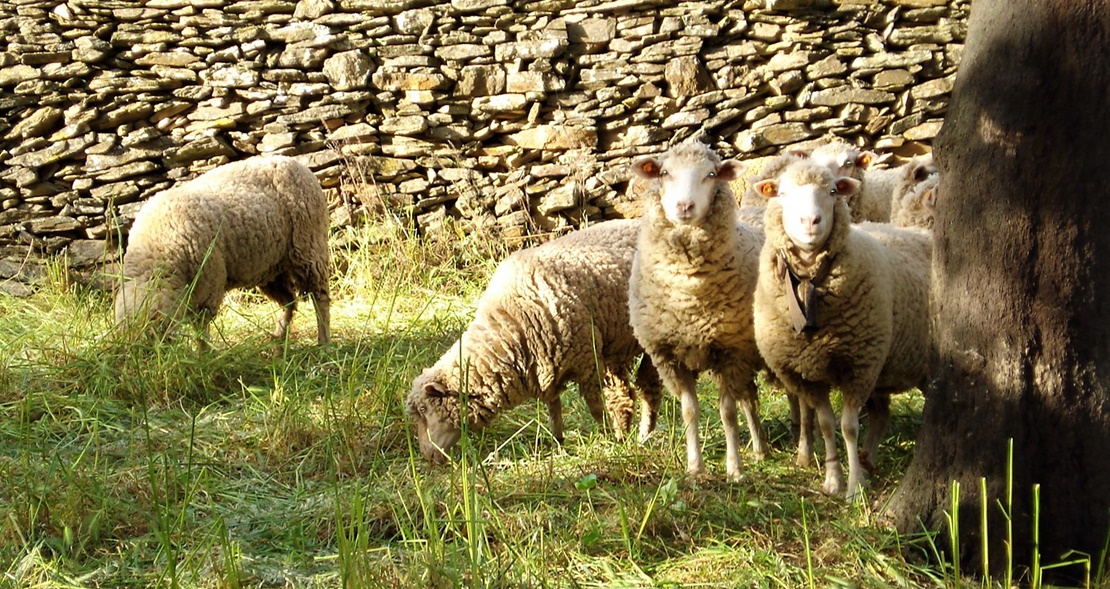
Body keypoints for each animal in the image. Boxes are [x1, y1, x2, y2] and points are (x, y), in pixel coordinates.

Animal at [119, 155, 333, 346]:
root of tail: (297, 163)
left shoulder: (208, 284)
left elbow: (201, 328)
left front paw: (204, 354)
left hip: (309, 248)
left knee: (320, 298)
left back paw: (323, 343)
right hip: (270, 267)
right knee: (289, 301)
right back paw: (278, 341)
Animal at [410, 219, 661, 465]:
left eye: (424, 408)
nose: (427, 456)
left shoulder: (587, 362)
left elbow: (595, 407)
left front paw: (607, 436)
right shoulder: (548, 369)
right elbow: (554, 408)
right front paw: (559, 442)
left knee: (642, 389)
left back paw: (637, 436)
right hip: (618, 346)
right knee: (634, 391)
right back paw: (635, 435)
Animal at [630, 140, 768, 481]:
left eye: (711, 174)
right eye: (664, 173)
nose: (684, 206)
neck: (689, 297)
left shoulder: (729, 352)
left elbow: (727, 413)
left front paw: (735, 469)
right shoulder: (670, 357)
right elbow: (689, 411)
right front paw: (695, 467)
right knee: (750, 398)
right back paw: (760, 449)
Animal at [750, 158, 932, 499]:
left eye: (833, 191)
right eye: (782, 193)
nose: (811, 221)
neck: (809, 278)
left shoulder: (859, 366)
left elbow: (848, 427)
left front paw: (853, 488)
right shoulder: (810, 375)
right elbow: (825, 424)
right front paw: (834, 479)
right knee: (881, 415)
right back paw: (869, 460)